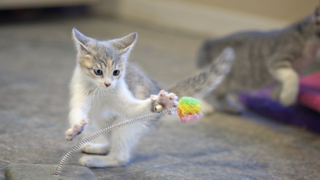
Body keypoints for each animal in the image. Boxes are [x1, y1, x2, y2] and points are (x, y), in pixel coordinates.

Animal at [66, 27, 234, 167]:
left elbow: (132, 108)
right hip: (104, 122)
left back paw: (97, 160)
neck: (100, 91)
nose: (108, 84)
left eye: (116, 72)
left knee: (120, 156)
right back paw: (97, 147)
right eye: (98, 72)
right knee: (111, 139)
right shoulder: (80, 93)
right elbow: (77, 111)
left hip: (127, 123)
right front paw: (77, 128)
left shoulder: (123, 97)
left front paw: (161, 102)